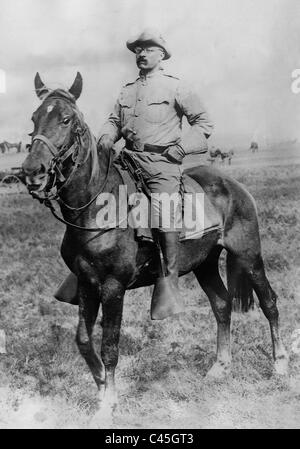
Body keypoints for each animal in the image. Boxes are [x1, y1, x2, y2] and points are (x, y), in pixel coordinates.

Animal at [21, 72, 288, 422]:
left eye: (66, 120)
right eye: (35, 118)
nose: (31, 172)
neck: (98, 206)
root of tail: (234, 185)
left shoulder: (112, 287)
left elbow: (109, 347)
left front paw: (107, 404)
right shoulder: (86, 284)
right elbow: (83, 341)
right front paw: (102, 387)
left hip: (248, 256)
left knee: (269, 302)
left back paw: (280, 365)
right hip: (205, 264)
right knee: (221, 305)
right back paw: (220, 368)